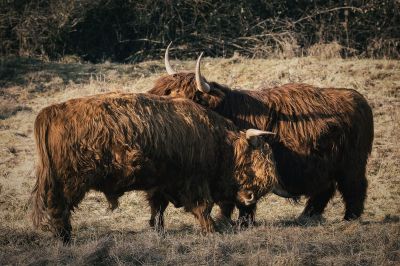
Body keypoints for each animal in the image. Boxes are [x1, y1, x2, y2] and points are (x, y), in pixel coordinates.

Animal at [32, 92, 278, 242]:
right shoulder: (195, 181)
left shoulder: (161, 182)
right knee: (59, 208)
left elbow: (158, 207)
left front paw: (157, 230)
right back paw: (64, 238)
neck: (216, 140)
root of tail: (51, 112)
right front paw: (211, 231)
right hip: (70, 182)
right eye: (250, 159)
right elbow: (203, 207)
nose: (251, 197)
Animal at [148, 45, 376, 224]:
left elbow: (238, 197)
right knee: (325, 188)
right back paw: (307, 215)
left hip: (352, 162)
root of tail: (358, 98)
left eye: (190, 97)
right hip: (325, 165)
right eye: (168, 93)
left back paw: (349, 218)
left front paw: (241, 222)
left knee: (354, 186)